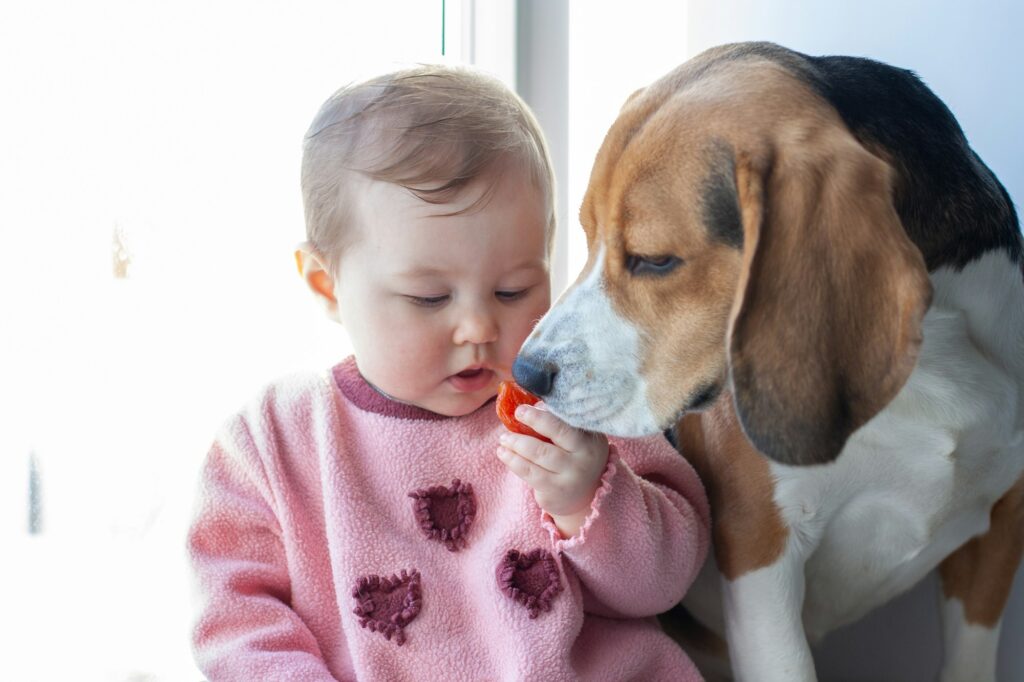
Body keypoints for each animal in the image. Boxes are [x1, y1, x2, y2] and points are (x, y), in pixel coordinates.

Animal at [516, 43, 1024, 679]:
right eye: (586, 235)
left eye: (655, 260)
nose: (526, 372)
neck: (933, 369)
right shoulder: (761, 550)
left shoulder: (1000, 533)